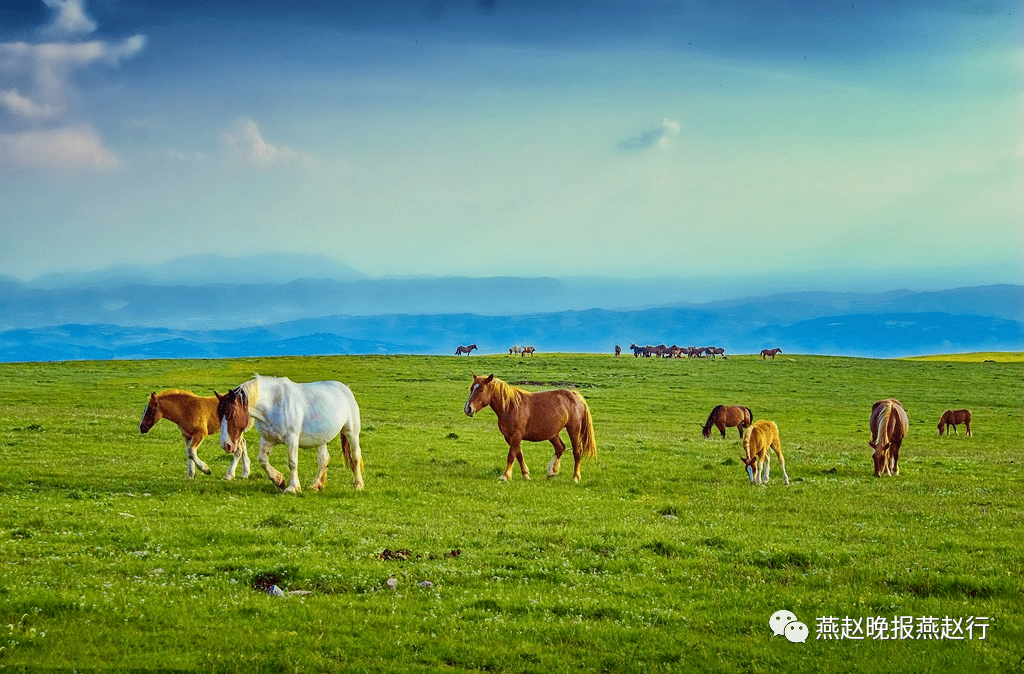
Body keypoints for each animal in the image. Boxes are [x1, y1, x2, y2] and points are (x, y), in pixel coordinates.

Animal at [216, 372, 364, 493]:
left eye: (230, 414)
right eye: (219, 415)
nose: (226, 445)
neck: (273, 404)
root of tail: (345, 389)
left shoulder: (292, 438)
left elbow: (292, 462)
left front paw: (292, 487)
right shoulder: (267, 439)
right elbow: (262, 459)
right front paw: (279, 480)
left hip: (351, 432)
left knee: (355, 456)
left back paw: (358, 484)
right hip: (320, 439)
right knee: (323, 459)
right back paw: (316, 485)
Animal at [466, 372, 598, 483]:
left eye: (481, 389)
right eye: (471, 388)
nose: (468, 409)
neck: (510, 406)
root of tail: (575, 395)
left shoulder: (516, 436)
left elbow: (511, 455)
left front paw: (505, 476)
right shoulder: (509, 437)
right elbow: (518, 455)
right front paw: (525, 475)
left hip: (574, 429)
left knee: (577, 452)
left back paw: (575, 477)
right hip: (552, 433)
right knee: (560, 448)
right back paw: (551, 472)